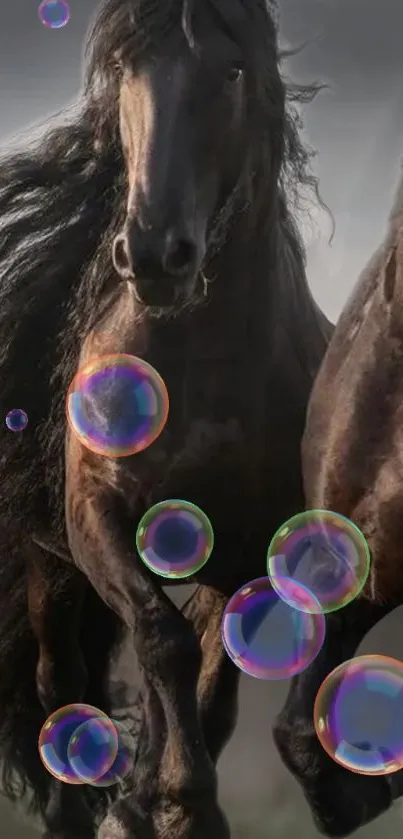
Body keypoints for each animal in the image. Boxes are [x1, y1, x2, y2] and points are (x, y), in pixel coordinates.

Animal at [0, 1, 332, 839]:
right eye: (126, 69)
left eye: (234, 69)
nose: (153, 255)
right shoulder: (96, 518)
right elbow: (163, 642)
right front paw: (173, 798)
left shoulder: (255, 551)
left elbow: (207, 683)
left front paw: (171, 801)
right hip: (53, 575)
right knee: (61, 683)